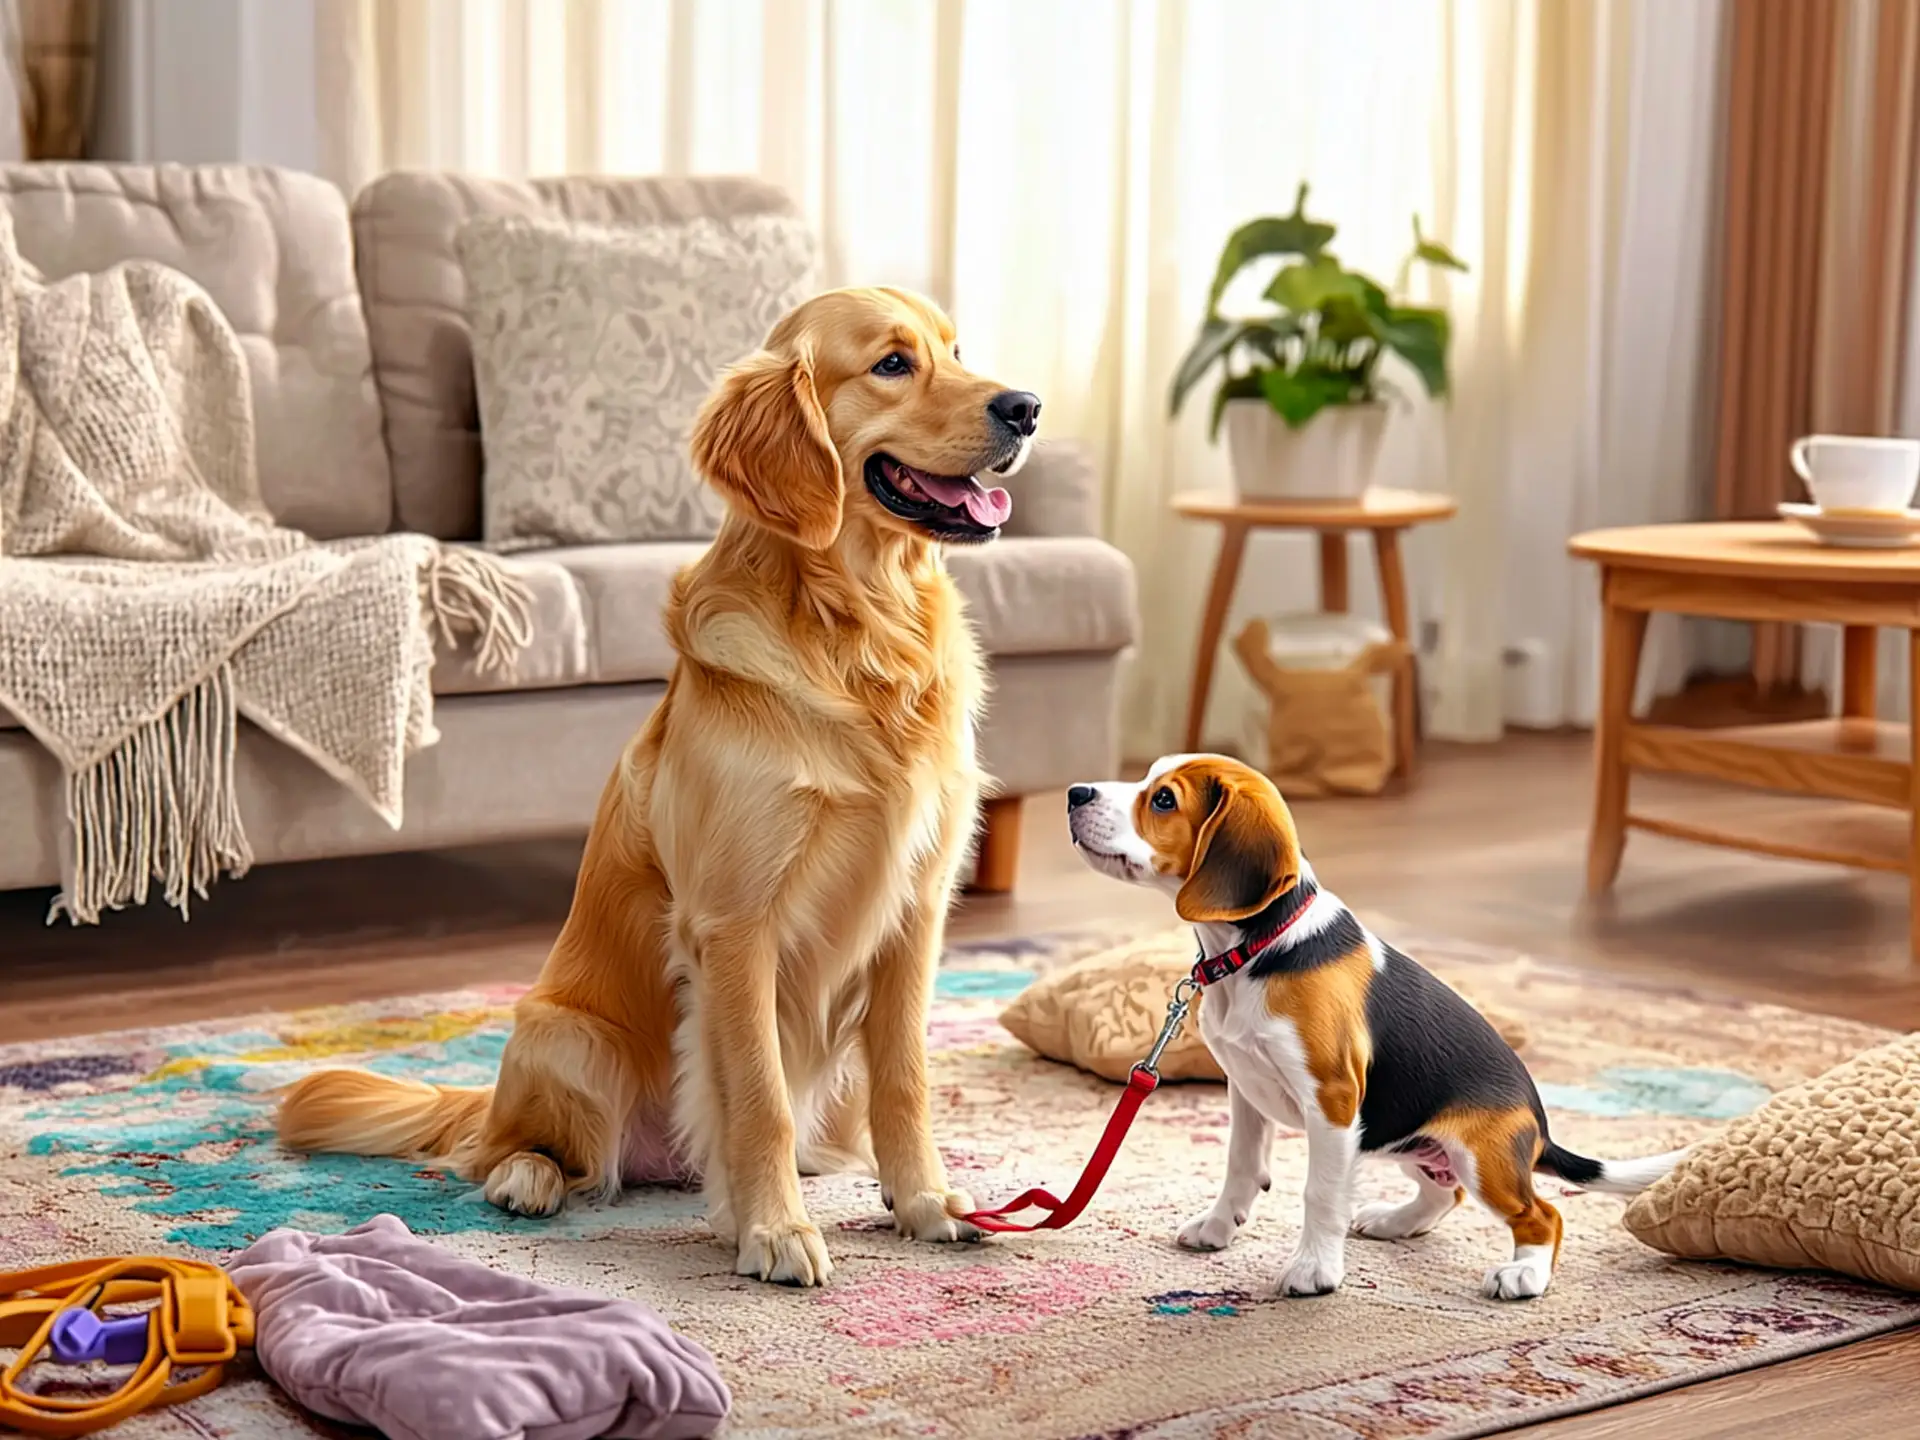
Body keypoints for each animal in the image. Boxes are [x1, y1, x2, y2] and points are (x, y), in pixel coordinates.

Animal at [1075, 760, 1689, 1305]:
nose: (1076, 793)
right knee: (1445, 1192)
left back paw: (1523, 1275)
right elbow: (1241, 1165)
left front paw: (1314, 1271)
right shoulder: (1245, 1088)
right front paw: (1218, 1226)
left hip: (1473, 1153)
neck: (1260, 947)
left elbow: (1320, 1192)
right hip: (1401, 1135)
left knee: (1542, 1214)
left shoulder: (1333, 1100)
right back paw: (1397, 1220)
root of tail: (1537, 1129)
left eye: (1163, 800)